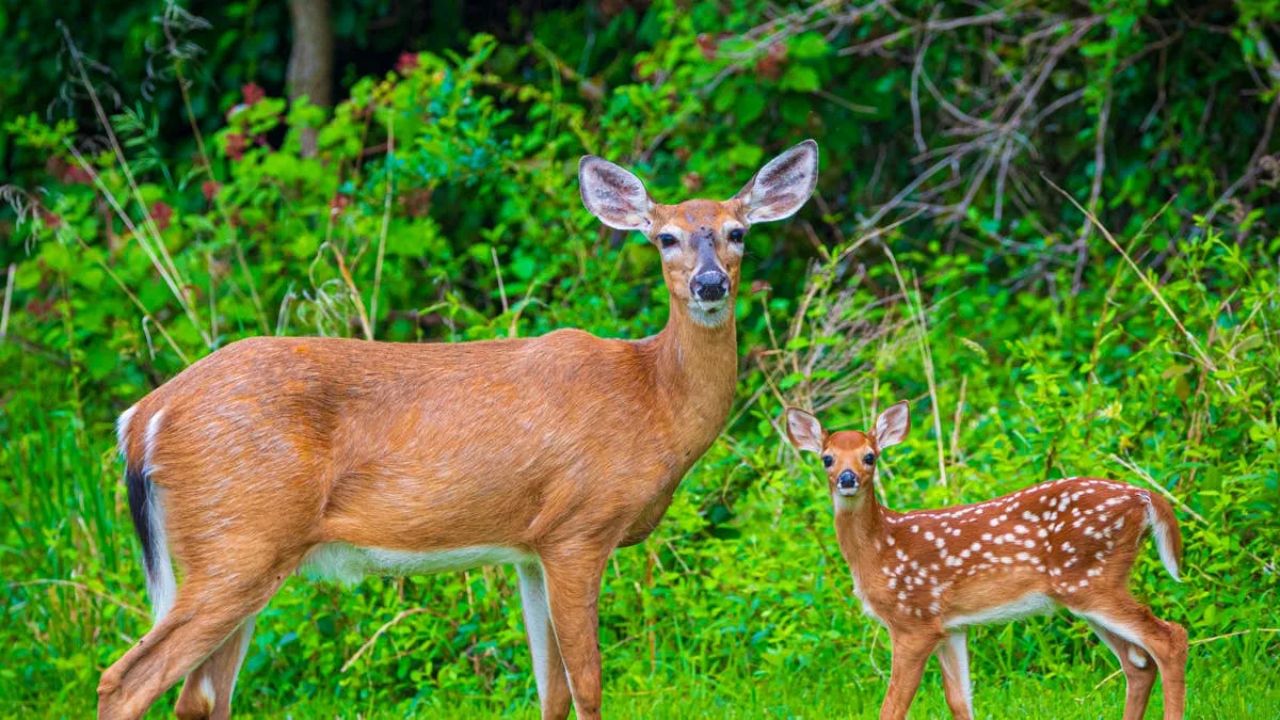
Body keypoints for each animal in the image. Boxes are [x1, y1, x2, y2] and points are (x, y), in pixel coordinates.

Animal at [97, 140, 820, 720]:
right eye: (664, 237)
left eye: (738, 232)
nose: (709, 284)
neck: (652, 400)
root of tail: (143, 417)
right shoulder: (580, 528)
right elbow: (588, 688)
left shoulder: (531, 546)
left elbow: (552, 693)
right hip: (237, 542)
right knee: (124, 681)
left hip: (240, 550)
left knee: (198, 698)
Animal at [783, 401, 1187, 720]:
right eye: (827, 459)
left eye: (870, 456)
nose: (847, 478)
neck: (880, 548)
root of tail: (1144, 497)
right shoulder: (951, 626)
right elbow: (960, 703)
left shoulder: (914, 620)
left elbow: (892, 708)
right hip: (1089, 591)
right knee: (1137, 664)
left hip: (1091, 580)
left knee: (1170, 637)